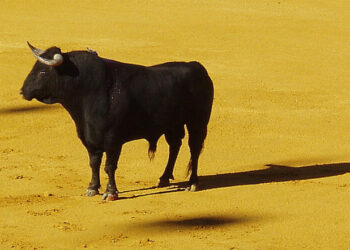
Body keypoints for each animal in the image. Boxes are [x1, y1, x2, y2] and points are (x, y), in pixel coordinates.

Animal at [21, 42, 215, 200]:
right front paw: (92, 188)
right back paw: (164, 178)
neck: (89, 91)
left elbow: (109, 166)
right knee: (174, 145)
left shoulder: (113, 140)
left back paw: (192, 183)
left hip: (198, 122)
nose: (23, 91)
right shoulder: (90, 140)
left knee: (194, 148)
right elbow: (94, 163)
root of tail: (197, 66)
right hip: (172, 124)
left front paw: (110, 193)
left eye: (43, 71)